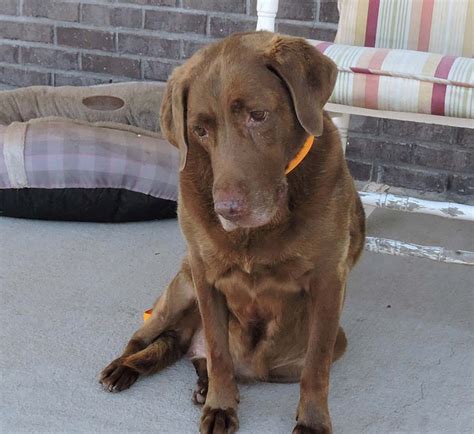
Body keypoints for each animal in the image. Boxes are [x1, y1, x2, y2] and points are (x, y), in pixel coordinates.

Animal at [100, 31, 364, 434]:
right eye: (200, 130)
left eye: (258, 115)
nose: (226, 210)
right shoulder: (204, 276)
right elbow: (219, 350)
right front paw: (221, 405)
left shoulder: (327, 281)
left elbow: (316, 366)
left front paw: (313, 422)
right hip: (179, 288)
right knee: (147, 339)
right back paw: (123, 368)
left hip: (332, 342)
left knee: (184, 351)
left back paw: (200, 385)